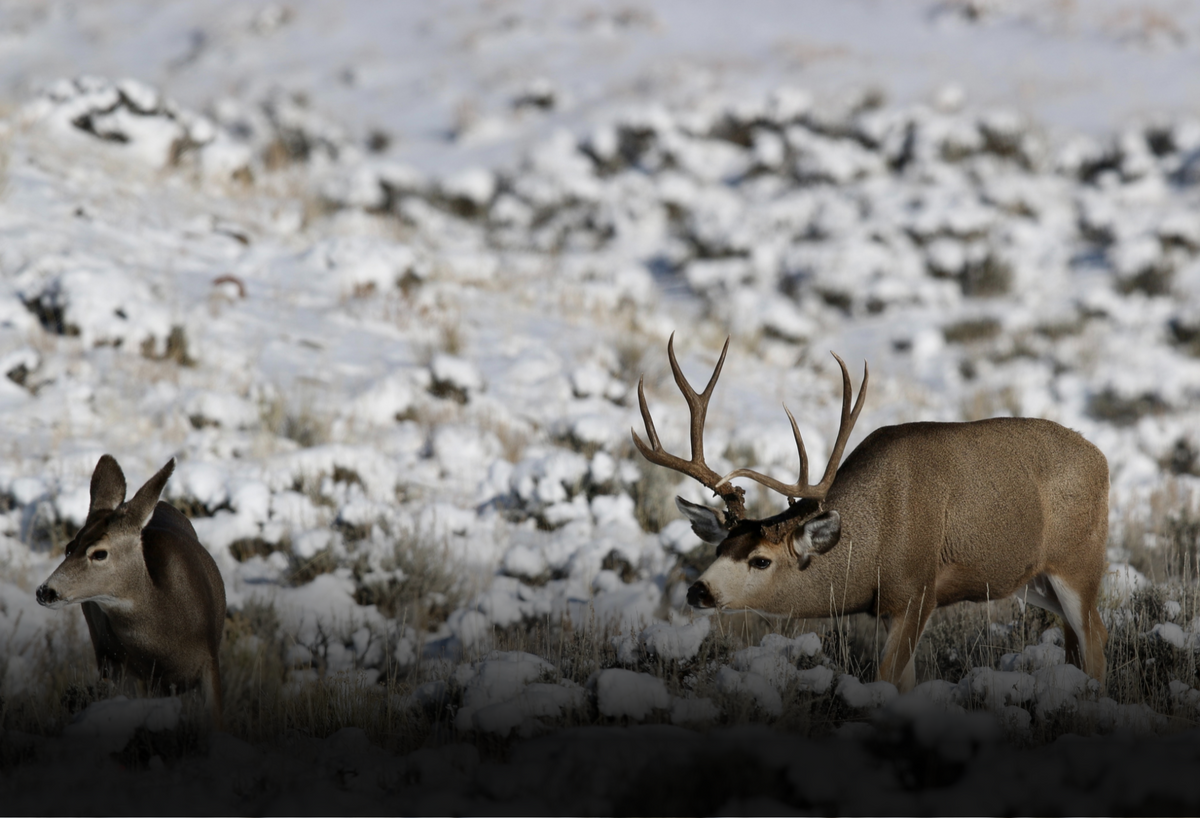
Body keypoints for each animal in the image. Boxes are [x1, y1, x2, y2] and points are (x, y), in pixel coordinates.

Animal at [634, 334, 1109, 693]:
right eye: (719, 550)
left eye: (761, 560)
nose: (698, 591)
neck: (877, 537)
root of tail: (1101, 458)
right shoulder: (886, 607)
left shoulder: (919, 590)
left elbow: (885, 677)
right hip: (1034, 581)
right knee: (1080, 638)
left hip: (1078, 560)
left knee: (1095, 640)